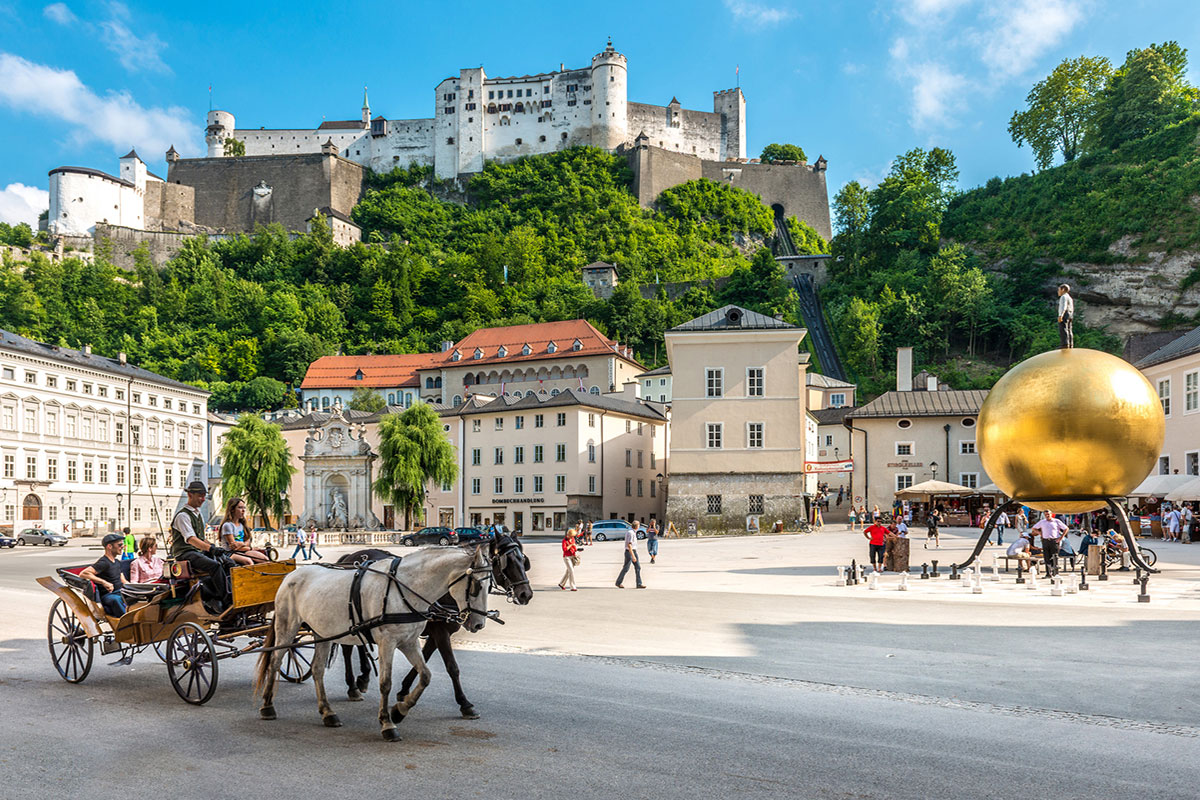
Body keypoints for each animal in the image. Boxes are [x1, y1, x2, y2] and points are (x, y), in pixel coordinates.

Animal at [254, 546, 492, 743]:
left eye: (489, 585)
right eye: (476, 586)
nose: (479, 624)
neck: (405, 589)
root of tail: (291, 575)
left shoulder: (409, 642)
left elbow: (425, 675)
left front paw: (399, 710)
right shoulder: (388, 642)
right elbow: (386, 683)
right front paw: (387, 723)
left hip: (322, 631)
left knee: (317, 669)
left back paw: (328, 712)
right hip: (287, 626)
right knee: (275, 662)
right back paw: (267, 706)